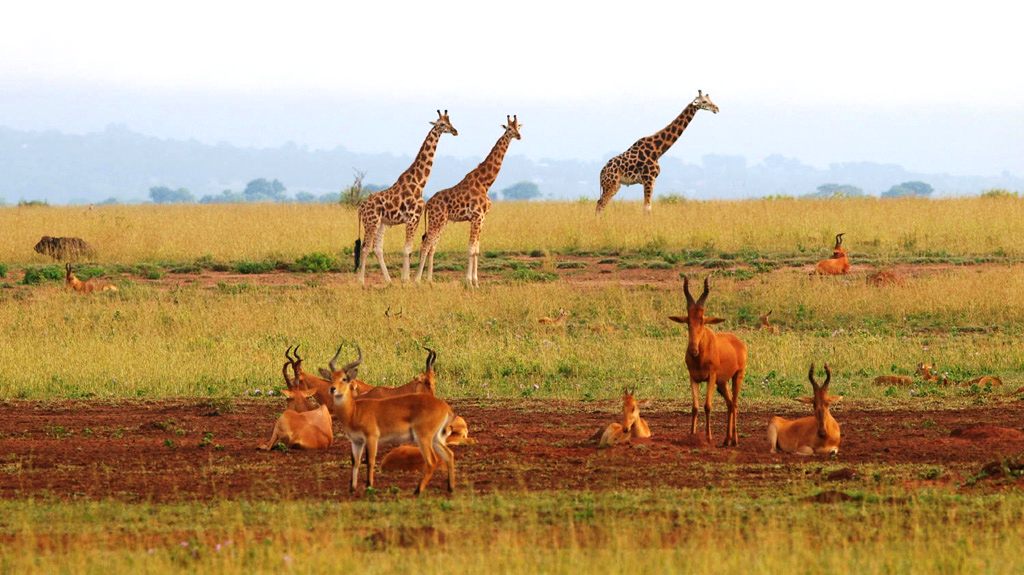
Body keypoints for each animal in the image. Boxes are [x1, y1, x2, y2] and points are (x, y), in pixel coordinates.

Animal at [358, 109, 458, 284]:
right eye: (441, 124)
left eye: (450, 122)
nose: (455, 131)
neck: (419, 183)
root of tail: (361, 206)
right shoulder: (411, 218)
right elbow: (407, 249)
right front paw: (406, 280)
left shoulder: (415, 219)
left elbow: (409, 249)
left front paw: (406, 279)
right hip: (371, 222)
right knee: (365, 248)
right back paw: (361, 281)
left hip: (381, 223)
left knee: (377, 249)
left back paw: (389, 281)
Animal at [413, 115, 520, 284]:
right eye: (509, 128)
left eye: (518, 127)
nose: (519, 136)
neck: (485, 182)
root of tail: (428, 204)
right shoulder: (476, 217)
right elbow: (470, 249)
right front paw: (469, 281)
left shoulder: (482, 219)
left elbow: (476, 249)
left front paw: (476, 282)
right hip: (436, 221)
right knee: (426, 244)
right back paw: (417, 280)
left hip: (441, 221)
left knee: (431, 246)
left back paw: (429, 280)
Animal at [667, 276, 749, 446]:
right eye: (688, 321)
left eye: (702, 320)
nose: (693, 350)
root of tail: (739, 342)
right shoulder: (694, 378)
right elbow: (695, 407)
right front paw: (692, 435)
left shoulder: (711, 377)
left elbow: (707, 406)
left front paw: (708, 437)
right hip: (722, 382)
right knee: (729, 404)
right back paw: (726, 440)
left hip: (737, 376)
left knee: (735, 404)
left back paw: (735, 440)